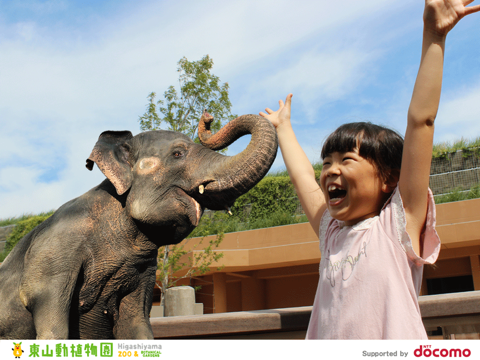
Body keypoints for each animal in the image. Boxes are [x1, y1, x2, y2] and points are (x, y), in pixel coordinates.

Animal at [0, 111, 278, 338]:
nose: (208, 117)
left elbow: (136, 323)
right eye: (178, 153)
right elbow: (50, 321)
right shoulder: (56, 251)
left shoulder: (145, 268)